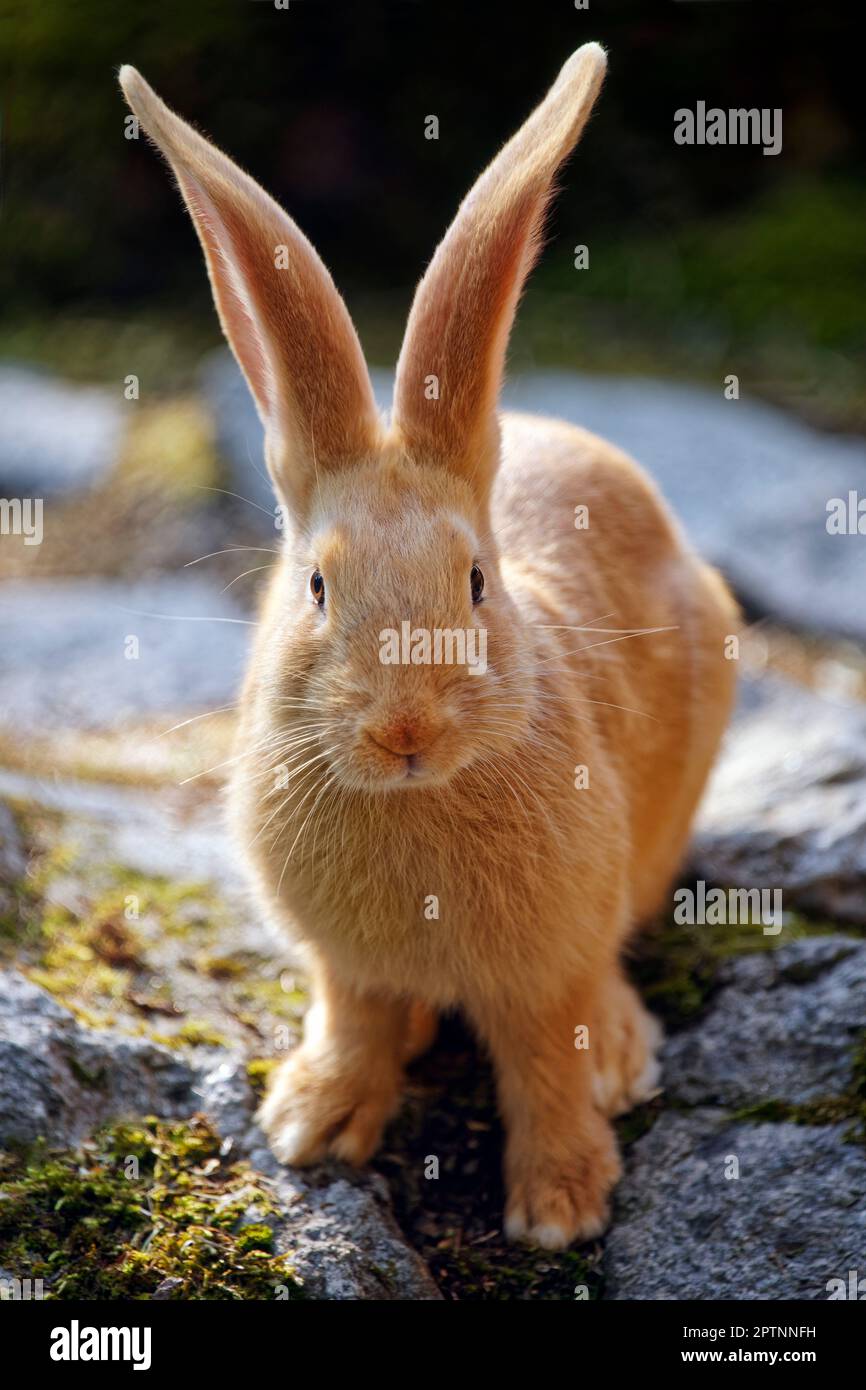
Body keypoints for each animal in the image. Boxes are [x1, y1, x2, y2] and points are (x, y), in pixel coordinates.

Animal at [122, 46, 739, 1251]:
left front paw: (560, 1207)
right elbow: (360, 1022)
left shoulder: (547, 968)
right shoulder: (348, 967)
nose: (406, 729)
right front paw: (310, 1128)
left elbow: (545, 1064)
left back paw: (623, 1054)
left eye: (476, 583)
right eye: (316, 588)